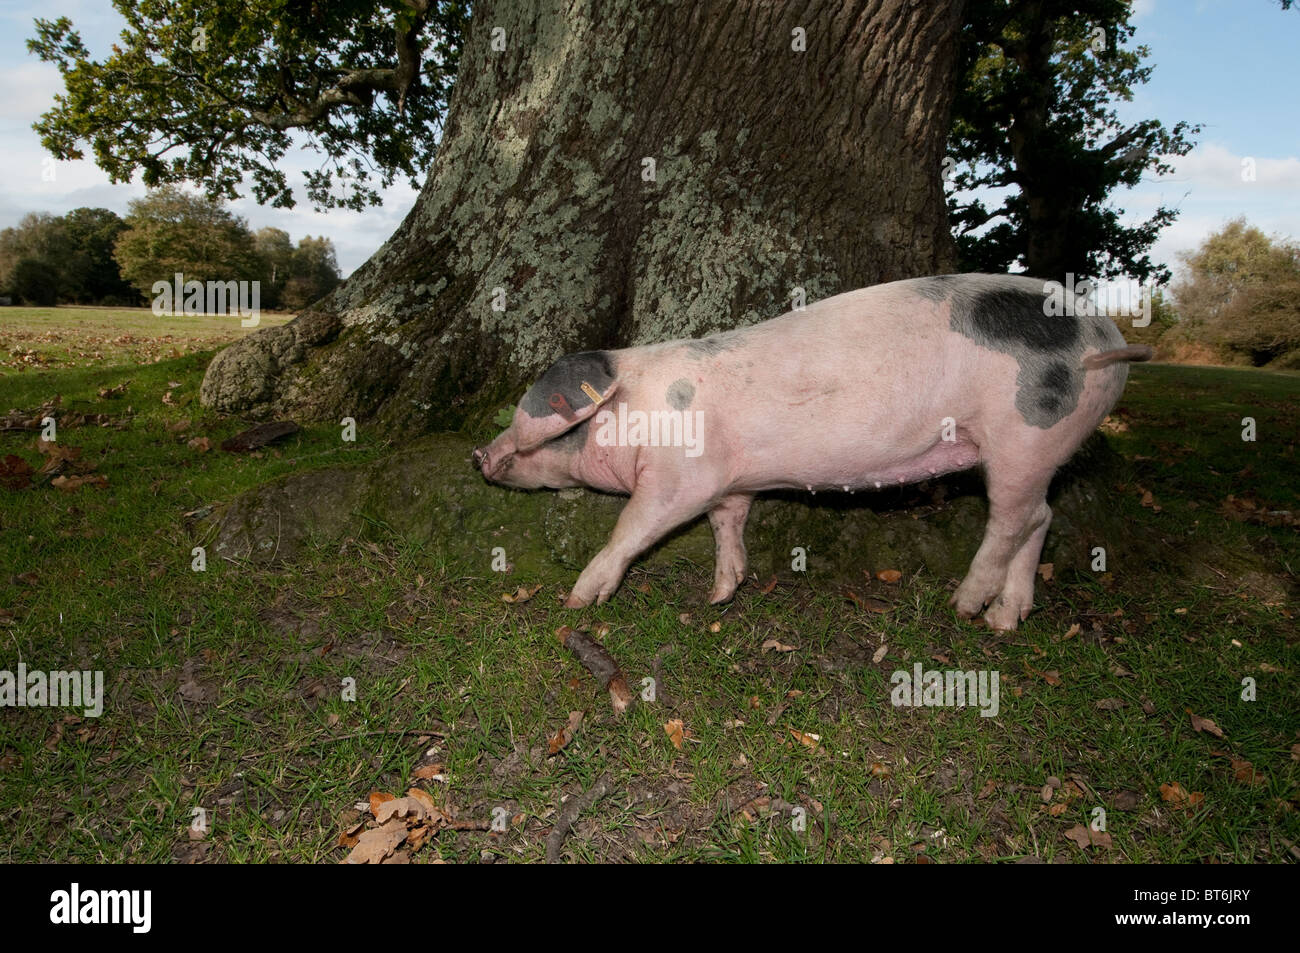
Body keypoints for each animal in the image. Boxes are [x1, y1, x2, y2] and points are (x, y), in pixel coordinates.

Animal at [475, 273, 1149, 631]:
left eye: (553, 427)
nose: (478, 455)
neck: (638, 412)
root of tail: (1106, 339)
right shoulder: (731, 480)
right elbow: (728, 524)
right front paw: (721, 593)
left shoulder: (680, 480)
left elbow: (632, 527)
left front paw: (578, 600)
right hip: (1039, 450)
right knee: (1041, 516)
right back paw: (1005, 620)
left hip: (1024, 434)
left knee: (1012, 521)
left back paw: (963, 606)